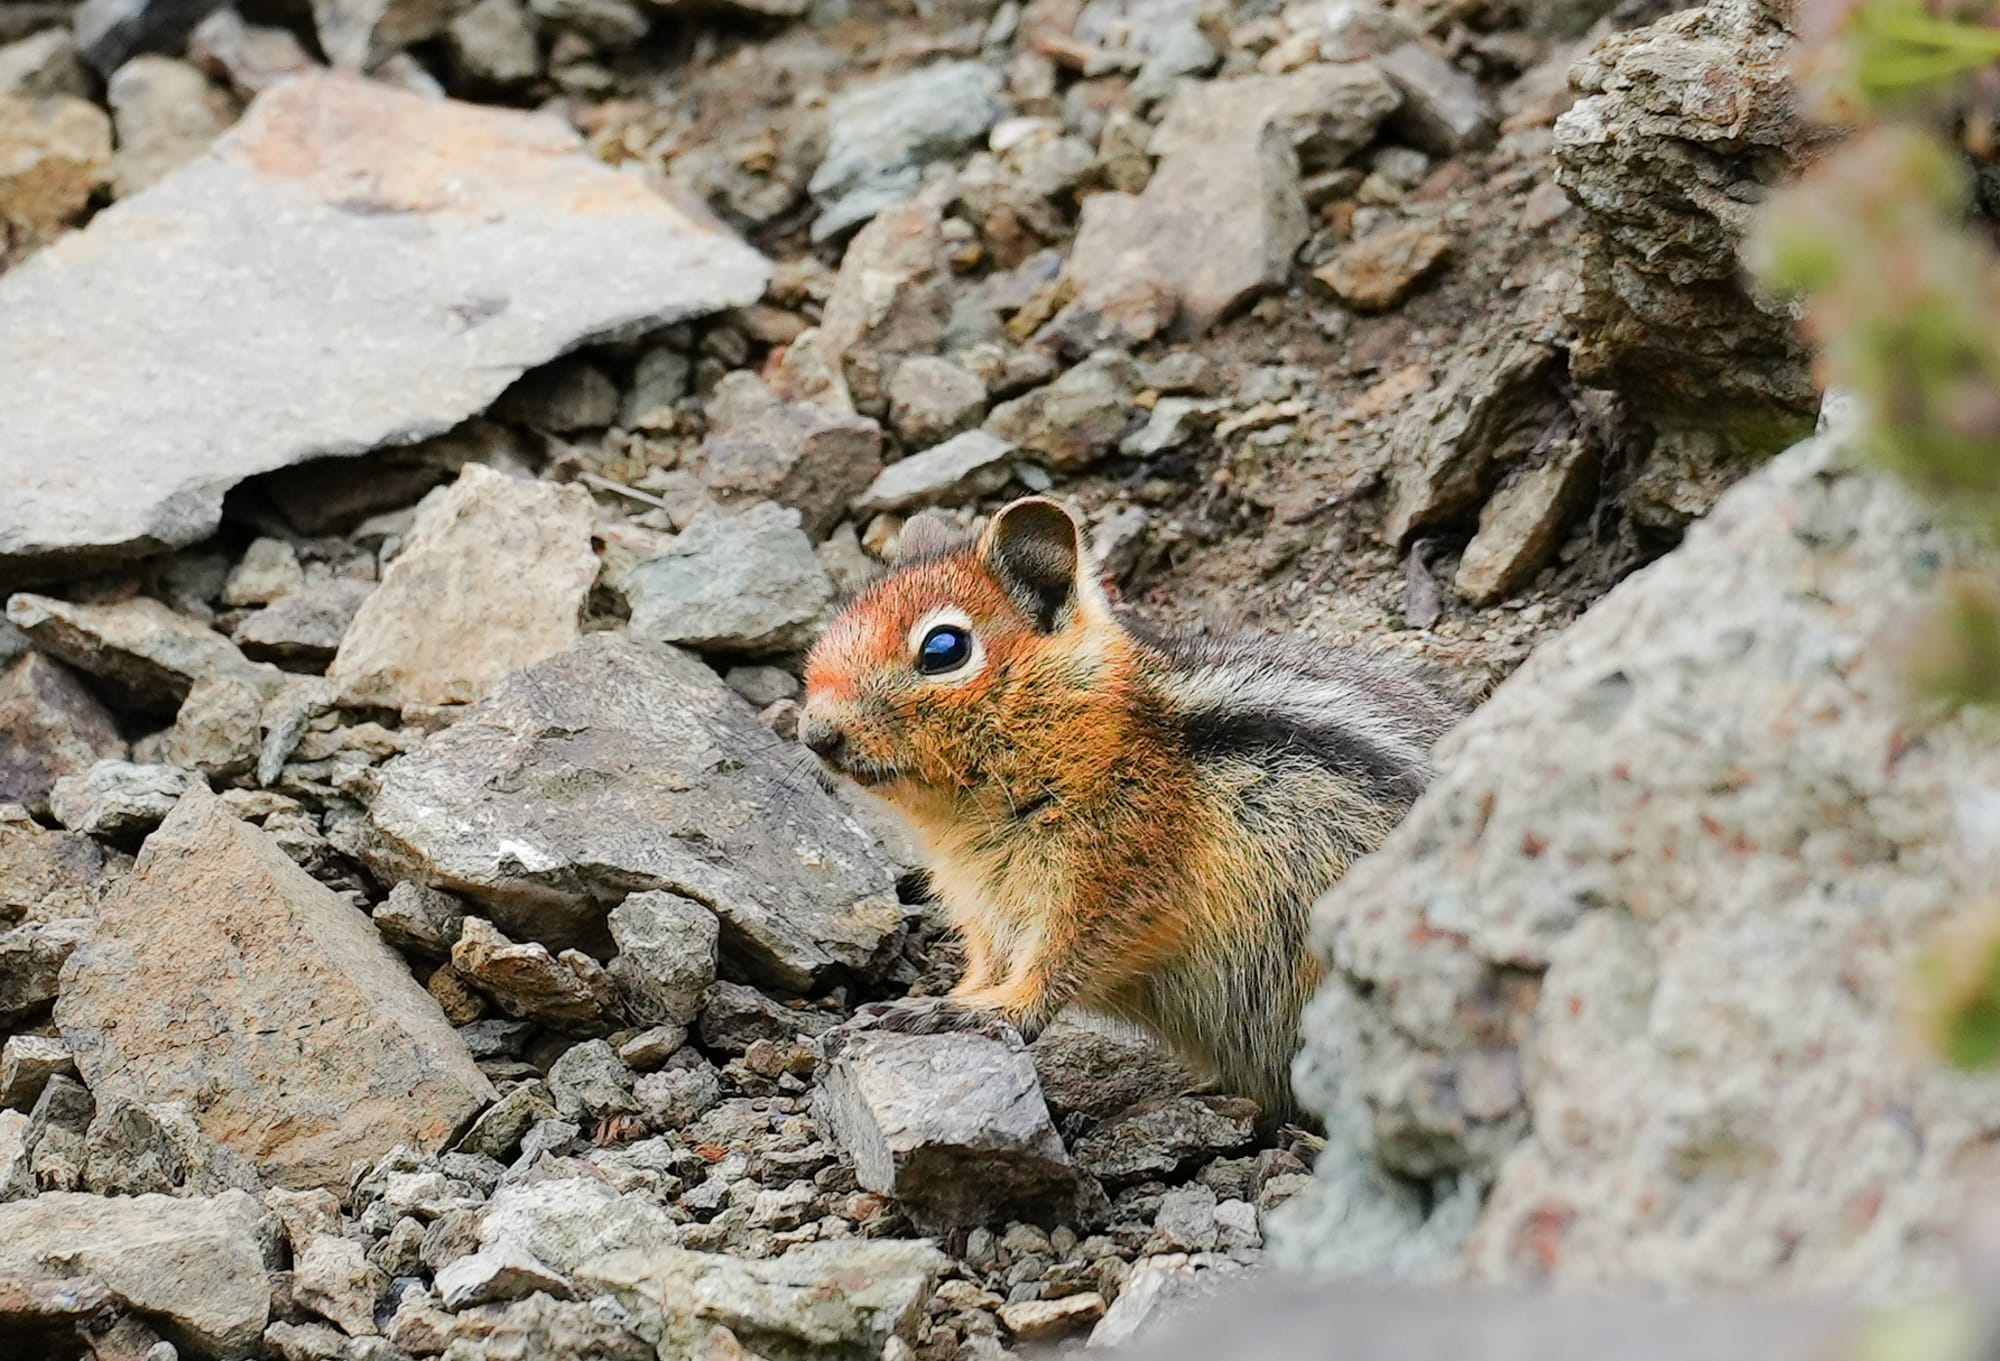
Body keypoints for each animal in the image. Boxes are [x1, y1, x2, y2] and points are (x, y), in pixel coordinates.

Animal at [799, 497, 1463, 1120]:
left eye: (943, 648)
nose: (813, 733)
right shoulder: (985, 913)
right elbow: (988, 963)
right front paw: (937, 1000)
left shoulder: (1117, 884)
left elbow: (1059, 965)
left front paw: (986, 1011)